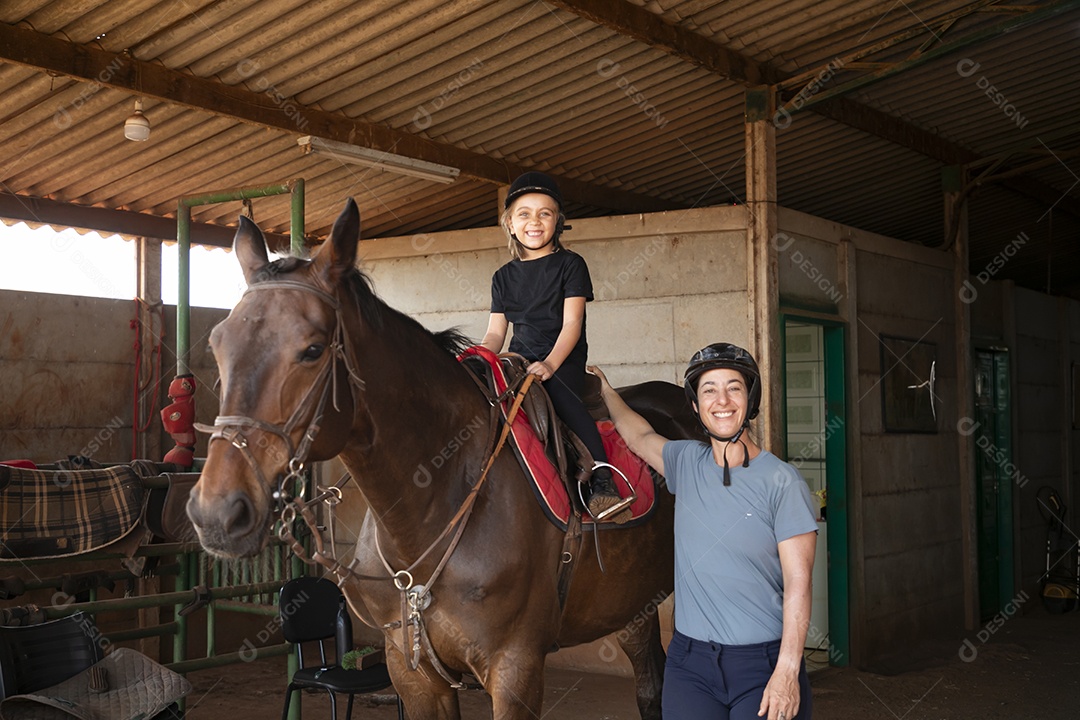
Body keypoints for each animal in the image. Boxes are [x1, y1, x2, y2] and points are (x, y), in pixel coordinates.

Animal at [186, 198, 699, 720]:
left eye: (311, 350)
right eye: (217, 345)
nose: (216, 513)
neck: (437, 501)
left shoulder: (516, 669)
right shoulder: (411, 673)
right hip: (631, 601)